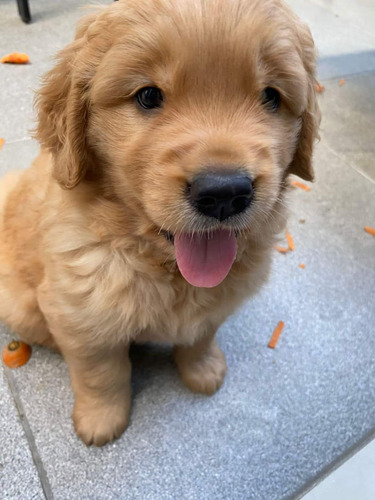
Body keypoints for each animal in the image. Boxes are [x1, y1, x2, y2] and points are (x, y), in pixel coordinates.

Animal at [0, 0, 320, 446]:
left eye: (271, 97)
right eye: (148, 96)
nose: (224, 193)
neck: (161, 264)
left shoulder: (218, 302)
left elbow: (201, 336)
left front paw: (203, 370)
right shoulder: (79, 313)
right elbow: (101, 372)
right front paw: (101, 420)